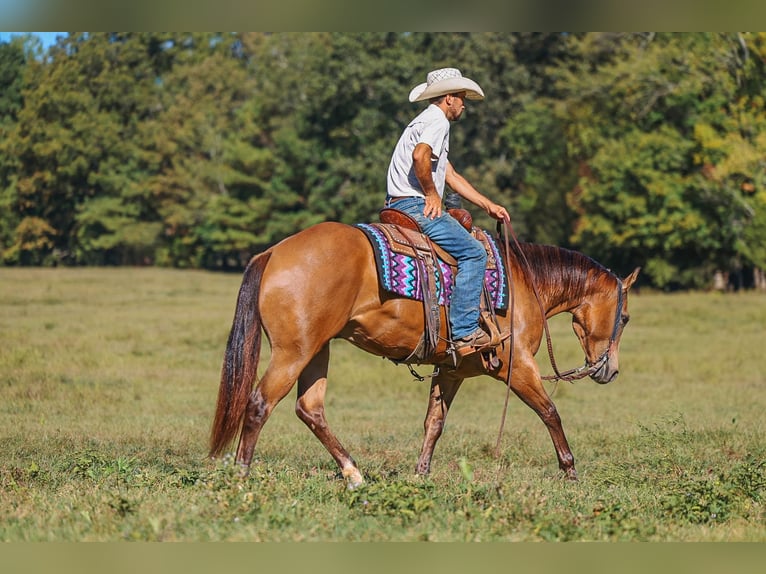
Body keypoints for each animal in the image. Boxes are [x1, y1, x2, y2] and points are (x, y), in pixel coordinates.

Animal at [209, 220, 640, 487]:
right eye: (625, 318)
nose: (611, 371)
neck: (524, 284)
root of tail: (274, 253)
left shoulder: (450, 372)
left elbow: (434, 423)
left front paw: (421, 474)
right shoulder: (517, 367)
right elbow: (550, 411)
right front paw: (570, 471)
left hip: (316, 350)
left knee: (310, 409)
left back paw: (354, 474)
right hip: (293, 352)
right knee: (260, 403)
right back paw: (242, 475)